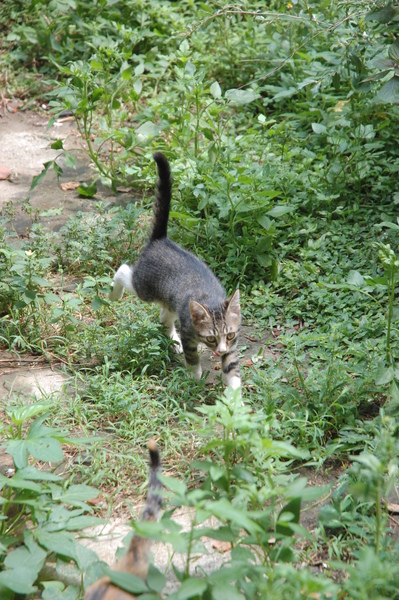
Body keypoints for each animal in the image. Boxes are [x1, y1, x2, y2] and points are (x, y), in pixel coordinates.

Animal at [108, 152, 241, 392]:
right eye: (210, 338)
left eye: (230, 334)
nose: (219, 351)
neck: (210, 299)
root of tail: (161, 240)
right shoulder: (189, 333)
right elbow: (193, 357)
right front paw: (194, 377)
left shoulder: (232, 346)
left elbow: (232, 369)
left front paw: (235, 397)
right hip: (144, 288)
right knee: (123, 271)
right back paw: (114, 294)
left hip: (169, 298)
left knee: (164, 314)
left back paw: (172, 339)